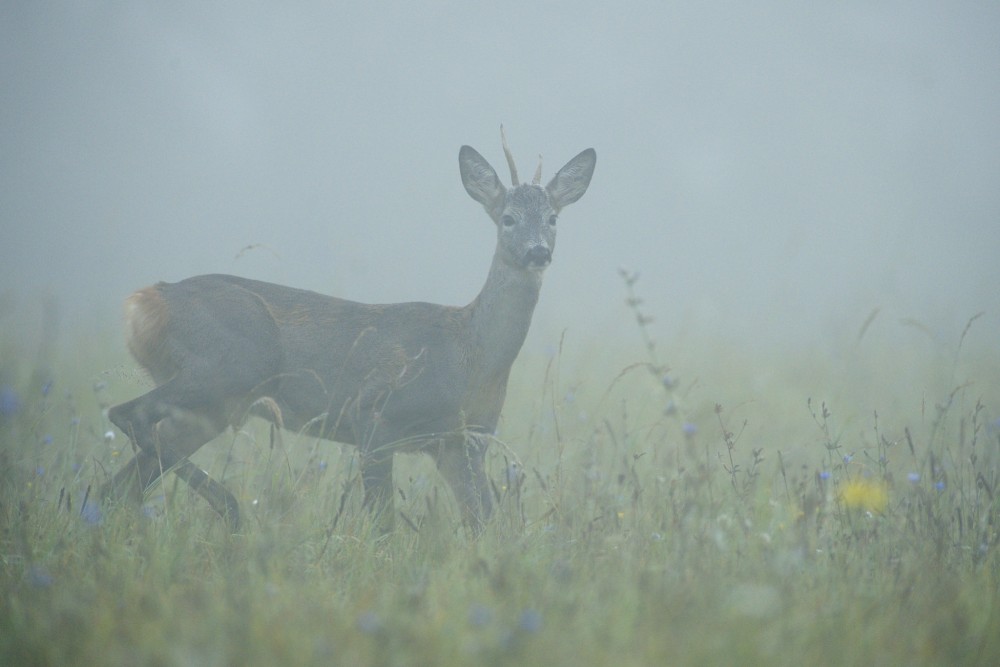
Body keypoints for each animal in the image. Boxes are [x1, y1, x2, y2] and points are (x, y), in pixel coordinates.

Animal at [103, 130, 592, 536]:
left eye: (552, 218)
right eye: (508, 218)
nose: (538, 252)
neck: (470, 353)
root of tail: (146, 300)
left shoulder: (464, 442)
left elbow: (486, 525)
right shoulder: (374, 414)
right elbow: (382, 524)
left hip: (216, 404)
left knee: (123, 482)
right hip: (226, 366)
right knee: (127, 416)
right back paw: (232, 508)